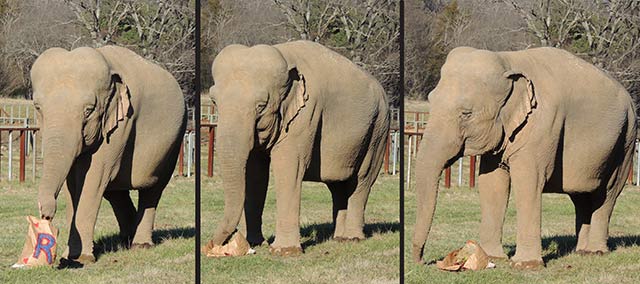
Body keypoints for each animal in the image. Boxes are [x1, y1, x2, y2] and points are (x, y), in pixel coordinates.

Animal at [31, 45, 186, 266]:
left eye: (89, 110)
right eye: (38, 108)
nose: (45, 216)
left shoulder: (120, 124)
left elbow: (93, 179)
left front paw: (81, 258)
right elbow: (72, 183)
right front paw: (68, 257)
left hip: (174, 141)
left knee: (153, 189)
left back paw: (140, 245)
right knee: (115, 191)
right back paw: (127, 238)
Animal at [209, 40, 390, 255]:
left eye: (261, 106)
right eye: (214, 101)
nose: (214, 245)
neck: (284, 56)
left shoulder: (306, 113)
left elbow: (288, 167)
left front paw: (284, 251)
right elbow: (255, 173)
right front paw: (256, 243)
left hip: (377, 131)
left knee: (361, 180)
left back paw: (352, 239)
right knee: (337, 185)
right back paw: (338, 238)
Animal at [412, 46, 636, 268]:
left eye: (466, 113)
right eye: (431, 100)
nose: (422, 261)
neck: (507, 60)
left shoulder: (543, 123)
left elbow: (528, 180)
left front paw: (526, 265)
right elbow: (492, 183)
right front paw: (493, 258)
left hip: (625, 141)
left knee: (606, 193)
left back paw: (595, 252)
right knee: (581, 197)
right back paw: (580, 251)